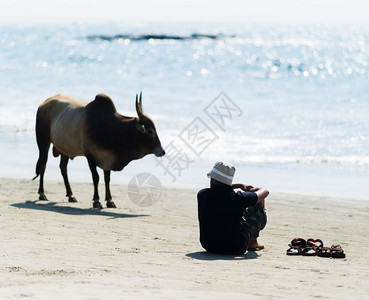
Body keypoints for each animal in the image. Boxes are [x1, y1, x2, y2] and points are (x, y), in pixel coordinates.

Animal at [33, 92, 165, 209]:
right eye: (150, 131)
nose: (162, 151)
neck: (112, 128)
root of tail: (44, 104)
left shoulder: (108, 158)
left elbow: (107, 179)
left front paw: (110, 201)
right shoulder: (90, 156)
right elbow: (96, 178)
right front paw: (96, 201)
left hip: (64, 149)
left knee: (63, 168)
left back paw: (71, 195)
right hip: (43, 141)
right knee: (43, 165)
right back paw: (42, 194)